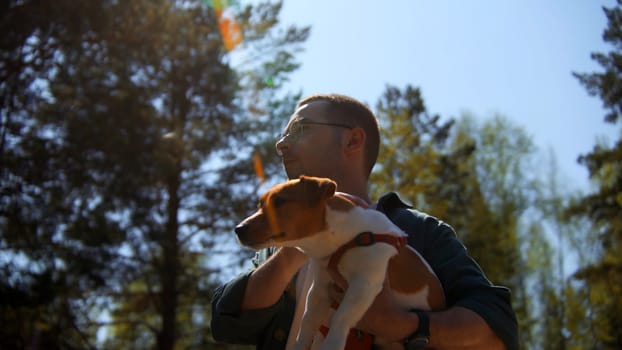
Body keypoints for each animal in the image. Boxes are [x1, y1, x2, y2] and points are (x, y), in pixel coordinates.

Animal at [236, 176, 446, 350]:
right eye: (260, 204)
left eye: (279, 201)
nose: (238, 229)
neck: (344, 239)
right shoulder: (321, 287)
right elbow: (307, 321)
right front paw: (299, 345)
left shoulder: (364, 283)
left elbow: (341, 316)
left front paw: (333, 344)